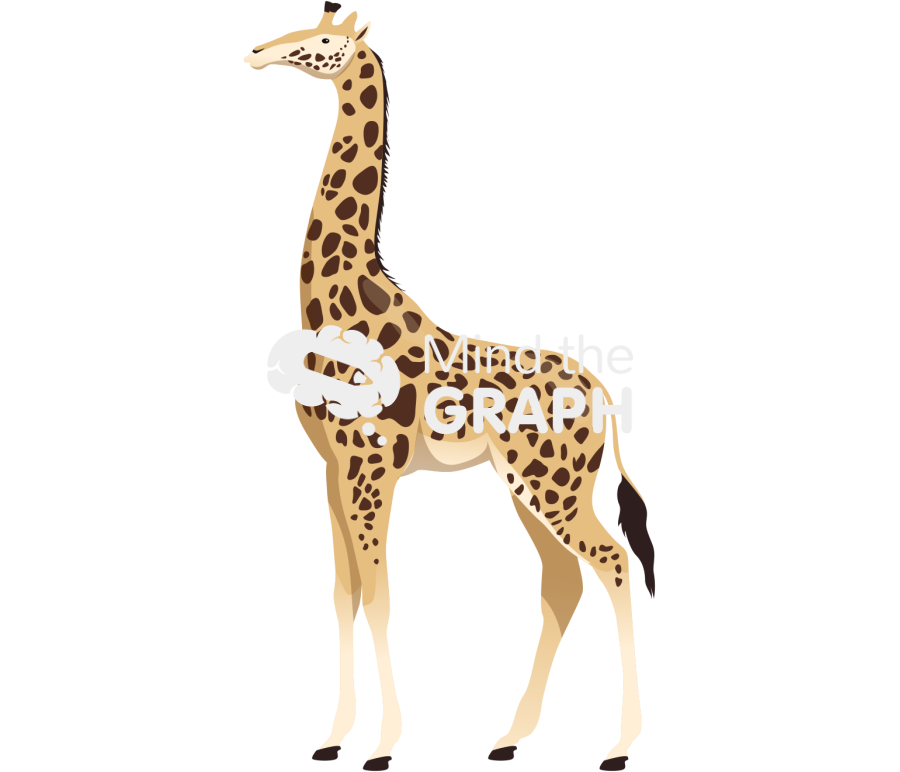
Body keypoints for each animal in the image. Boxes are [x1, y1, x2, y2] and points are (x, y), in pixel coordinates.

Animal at [249, 4, 655, 770]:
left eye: (324, 41)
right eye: (303, 29)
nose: (259, 53)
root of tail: (605, 402)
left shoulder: (372, 465)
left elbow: (380, 595)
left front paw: (384, 743)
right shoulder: (333, 468)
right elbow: (343, 593)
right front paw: (334, 735)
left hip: (553, 486)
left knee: (613, 564)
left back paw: (621, 742)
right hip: (525, 485)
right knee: (562, 584)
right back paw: (510, 736)